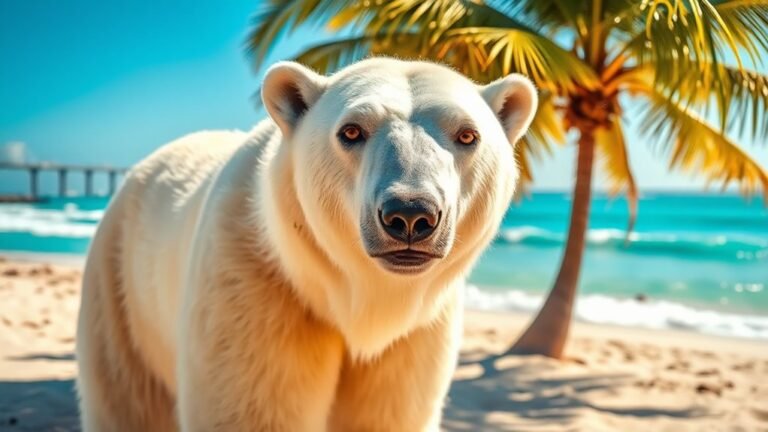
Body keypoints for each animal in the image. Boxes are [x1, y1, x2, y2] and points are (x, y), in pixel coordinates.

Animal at [76, 57, 537, 431]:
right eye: (351, 131)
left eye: (467, 135)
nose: (409, 214)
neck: (354, 300)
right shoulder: (256, 291)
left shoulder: (416, 333)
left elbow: (388, 413)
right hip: (122, 293)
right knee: (126, 400)